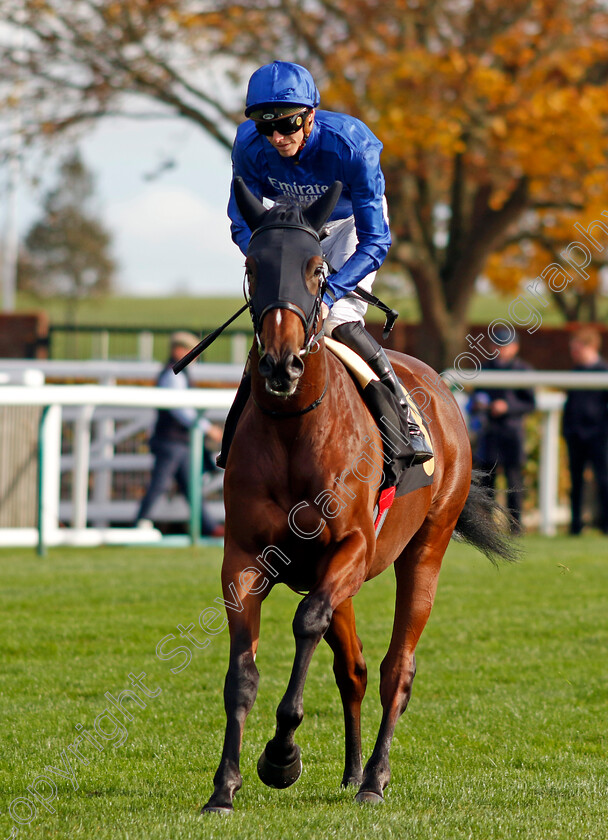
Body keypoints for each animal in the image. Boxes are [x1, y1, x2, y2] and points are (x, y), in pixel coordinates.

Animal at [202, 179, 516, 812]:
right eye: (252, 265)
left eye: (316, 269)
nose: (281, 363)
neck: (294, 429)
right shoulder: (245, 557)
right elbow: (243, 670)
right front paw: (225, 784)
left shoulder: (350, 545)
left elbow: (305, 623)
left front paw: (281, 755)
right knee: (355, 667)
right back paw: (350, 772)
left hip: (424, 550)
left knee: (398, 667)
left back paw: (373, 777)